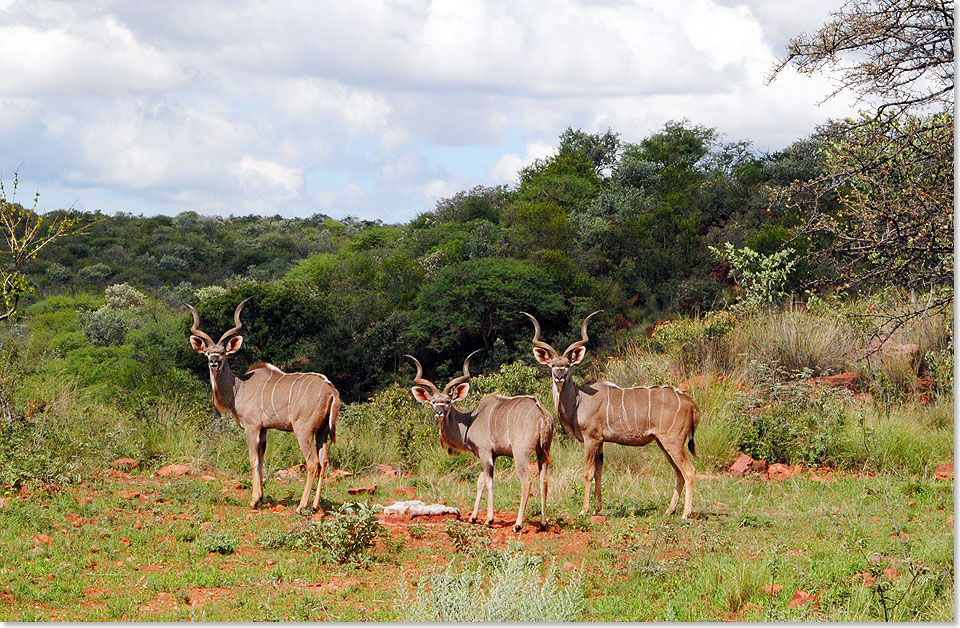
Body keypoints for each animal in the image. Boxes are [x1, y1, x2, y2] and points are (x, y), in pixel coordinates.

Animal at [186, 300, 340, 516]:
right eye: (208, 353)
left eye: (223, 353)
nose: (214, 362)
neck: (238, 387)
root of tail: (331, 390)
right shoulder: (264, 429)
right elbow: (261, 458)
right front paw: (260, 497)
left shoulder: (252, 427)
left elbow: (253, 459)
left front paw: (253, 501)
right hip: (322, 432)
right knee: (324, 462)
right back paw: (315, 505)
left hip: (304, 431)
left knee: (313, 463)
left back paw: (301, 506)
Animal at [406, 350, 556, 532]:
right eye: (433, 402)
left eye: (448, 401)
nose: (439, 412)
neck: (469, 421)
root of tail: (542, 416)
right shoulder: (493, 455)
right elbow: (480, 482)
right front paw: (473, 518)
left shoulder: (485, 454)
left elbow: (489, 482)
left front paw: (489, 520)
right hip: (543, 452)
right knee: (544, 481)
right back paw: (543, 523)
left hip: (521, 454)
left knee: (526, 482)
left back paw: (518, 524)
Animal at [520, 310, 700, 520]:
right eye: (552, 365)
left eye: (567, 365)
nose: (559, 377)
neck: (578, 401)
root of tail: (691, 404)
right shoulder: (600, 441)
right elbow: (599, 472)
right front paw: (597, 509)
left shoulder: (591, 439)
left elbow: (588, 472)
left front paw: (584, 510)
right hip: (663, 443)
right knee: (679, 473)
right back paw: (669, 510)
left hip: (673, 441)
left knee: (689, 471)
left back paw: (685, 514)